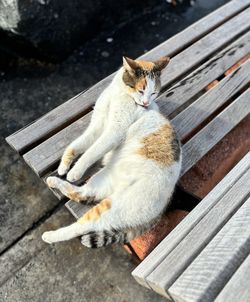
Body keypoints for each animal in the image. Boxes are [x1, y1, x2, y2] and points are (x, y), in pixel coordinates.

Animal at [41, 56, 182, 248]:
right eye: (142, 90)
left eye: (154, 93)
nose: (146, 103)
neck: (118, 94)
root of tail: (162, 210)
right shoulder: (98, 124)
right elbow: (78, 145)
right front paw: (64, 166)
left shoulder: (114, 130)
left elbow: (91, 152)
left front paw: (75, 171)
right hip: (103, 180)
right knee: (83, 194)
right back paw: (54, 181)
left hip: (114, 208)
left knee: (83, 225)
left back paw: (50, 236)